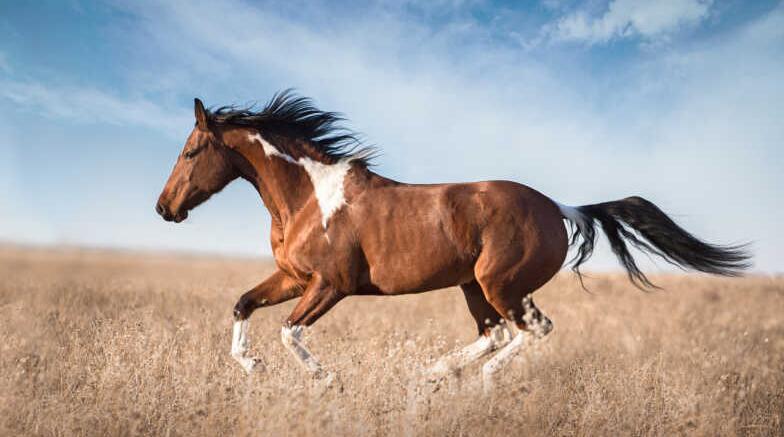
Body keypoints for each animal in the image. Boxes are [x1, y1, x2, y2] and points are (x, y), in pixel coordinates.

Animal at [156, 91, 752, 384]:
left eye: (190, 151)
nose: (164, 208)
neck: (309, 197)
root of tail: (559, 208)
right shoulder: (293, 277)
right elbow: (242, 305)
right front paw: (251, 367)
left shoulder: (331, 284)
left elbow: (289, 332)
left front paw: (327, 381)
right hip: (473, 286)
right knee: (496, 332)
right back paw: (435, 372)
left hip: (500, 284)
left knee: (530, 330)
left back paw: (481, 380)